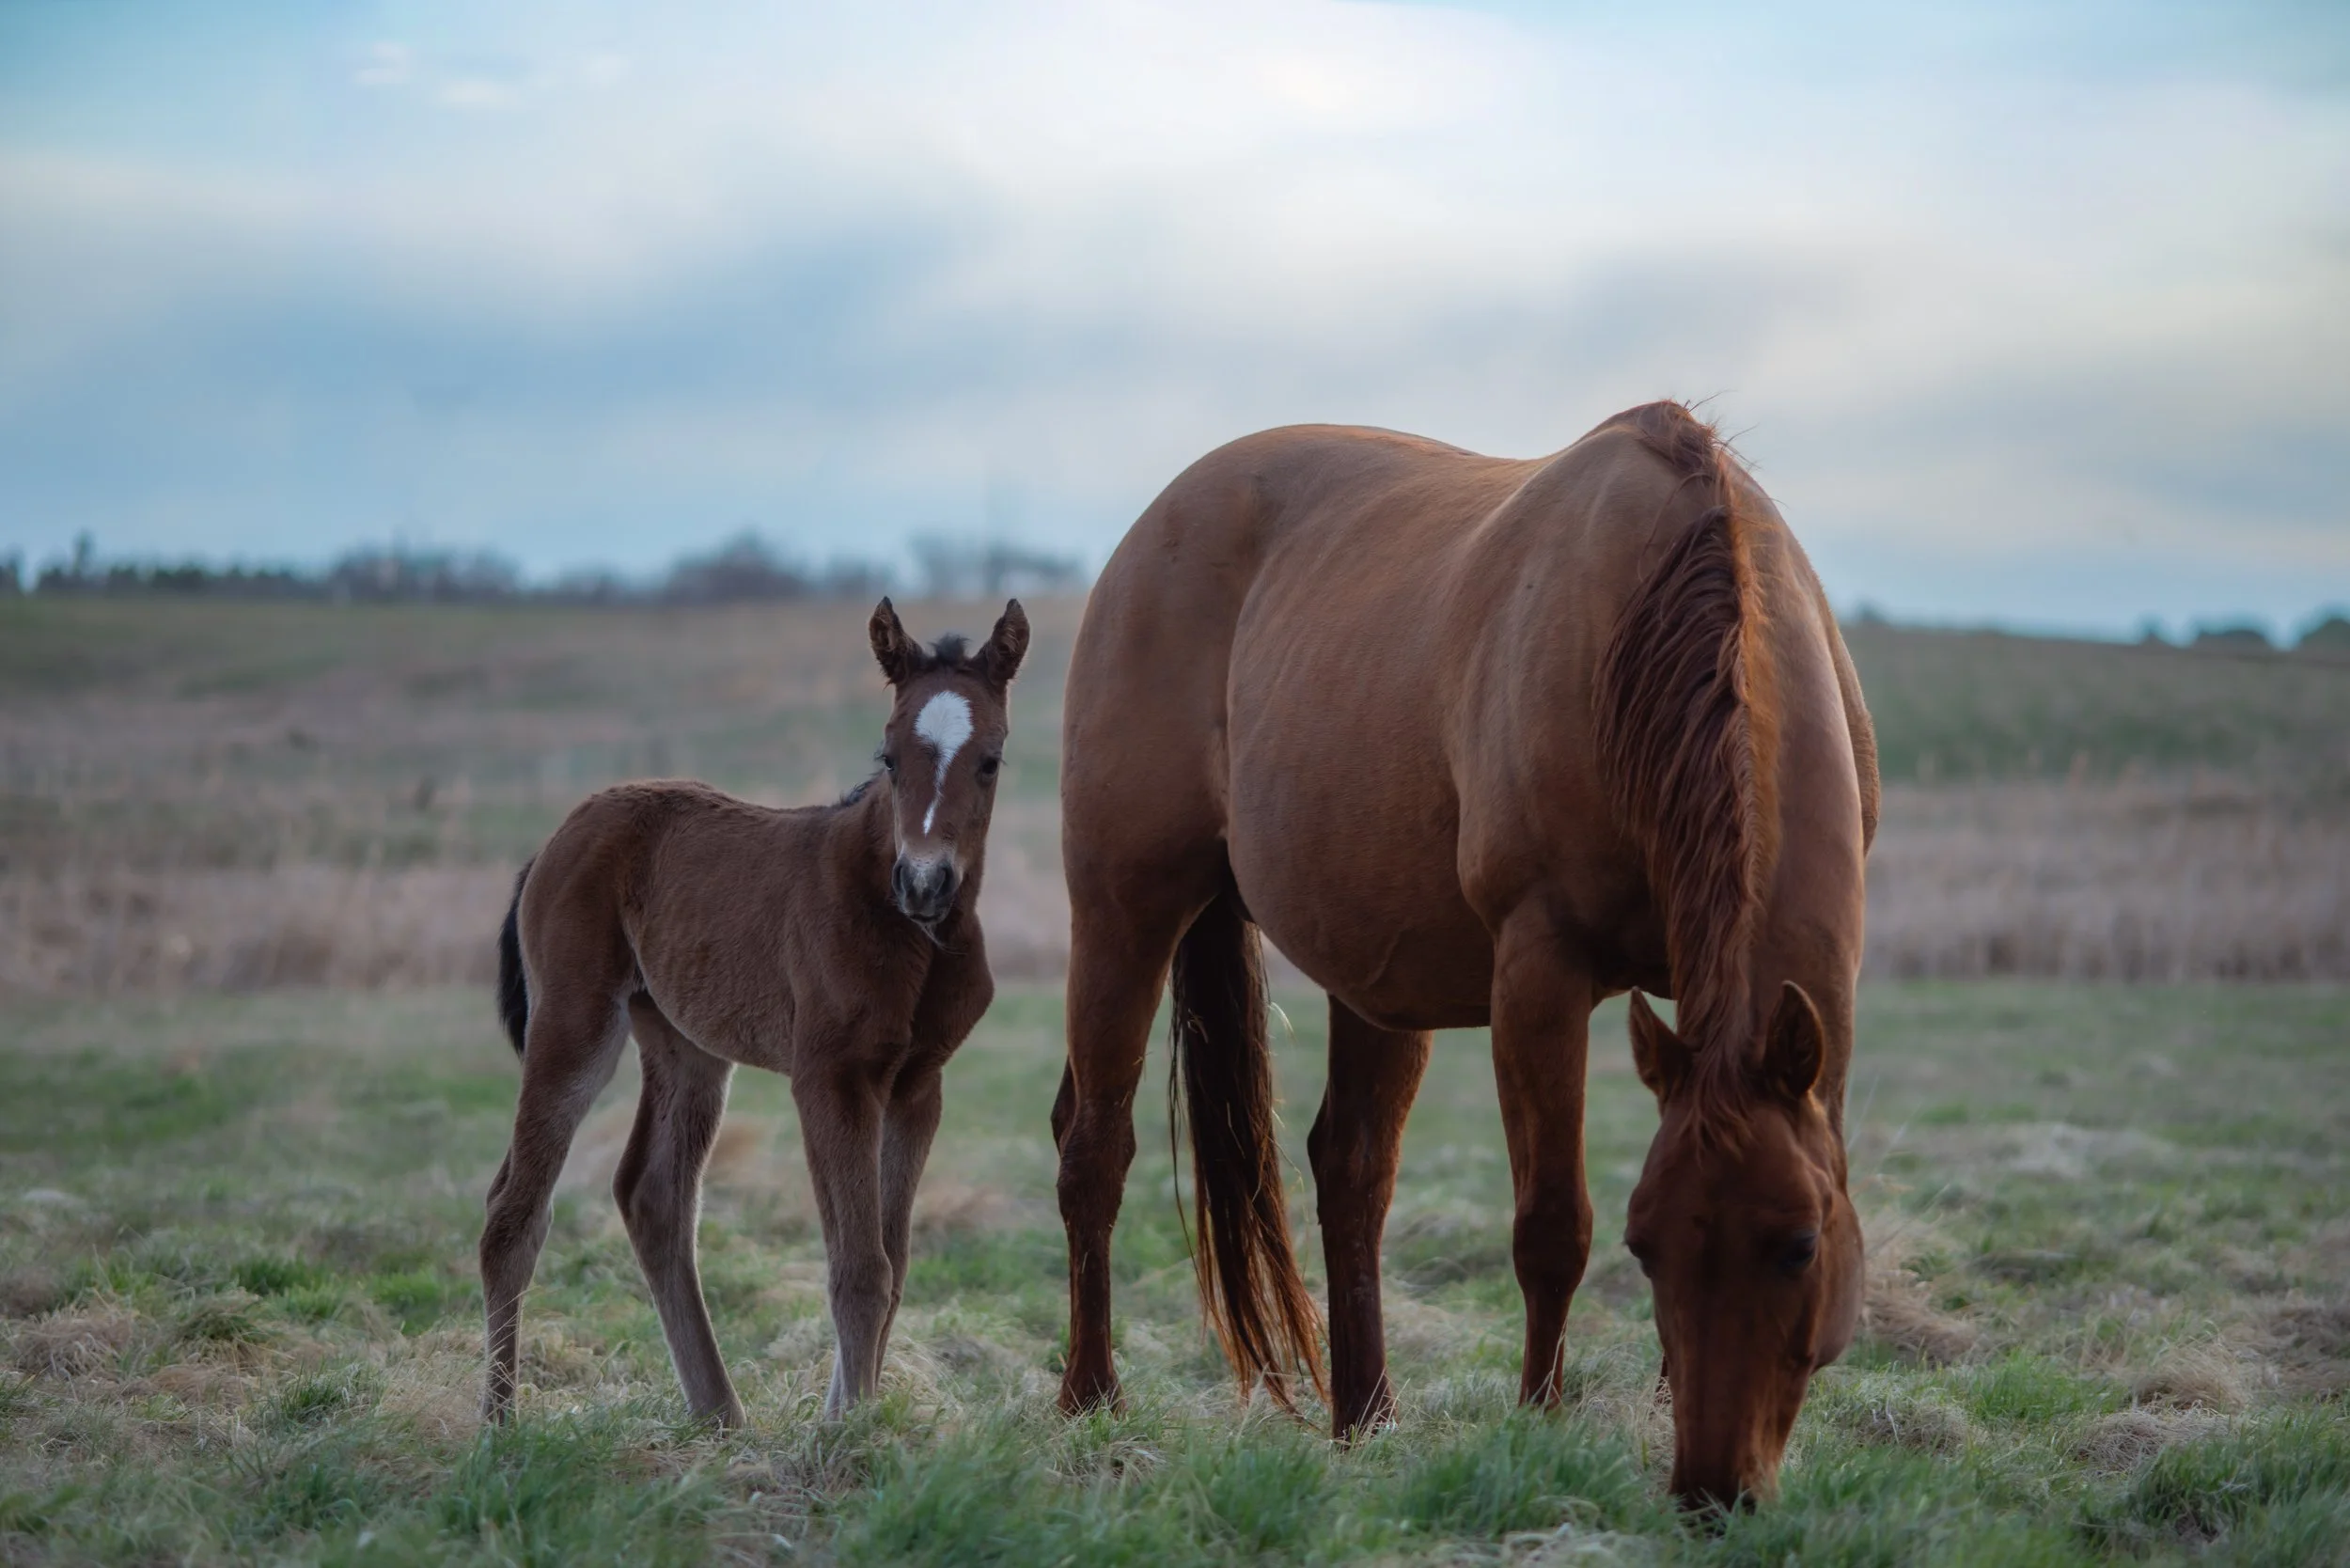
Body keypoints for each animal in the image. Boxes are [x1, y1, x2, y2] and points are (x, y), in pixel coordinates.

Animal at [479, 598, 1029, 1426]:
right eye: (890, 757)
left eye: (989, 760)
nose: (925, 882)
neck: (908, 932)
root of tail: (555, 839)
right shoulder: (829, 1078)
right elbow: (858, 1267)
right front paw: (847, 1434)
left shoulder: (917, 1087)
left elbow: (893, 1262)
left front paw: (851, 1414)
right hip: (574, 1022)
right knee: (514, 1211)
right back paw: (499, 1422)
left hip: (686, 1045)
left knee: (655, 1199)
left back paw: (719, 1415)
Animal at [1050, 401, 1877, 1508]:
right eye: (1644, 1245)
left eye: (1799, 1246)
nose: (1710, 1490)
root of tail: (1150, 531)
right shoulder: (1539, 973)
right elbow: (1551, 1228)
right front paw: (1541, 1424)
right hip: (1123, 913)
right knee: (1093, 1147)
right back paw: (1090, 1402)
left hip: (1373, 976)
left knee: (1350, 1171)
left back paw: (1366, 1418)